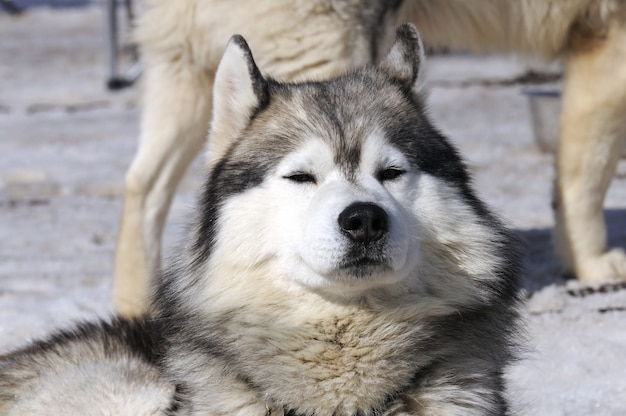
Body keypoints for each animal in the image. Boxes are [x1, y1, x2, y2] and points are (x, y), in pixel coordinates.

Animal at [112, 0, 624, 316]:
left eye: (393, 172)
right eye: (301, 177)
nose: (364, 222)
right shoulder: (608, 46)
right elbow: (584, 174)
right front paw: (591, 264)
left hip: (183, 70)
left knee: (141, 186)